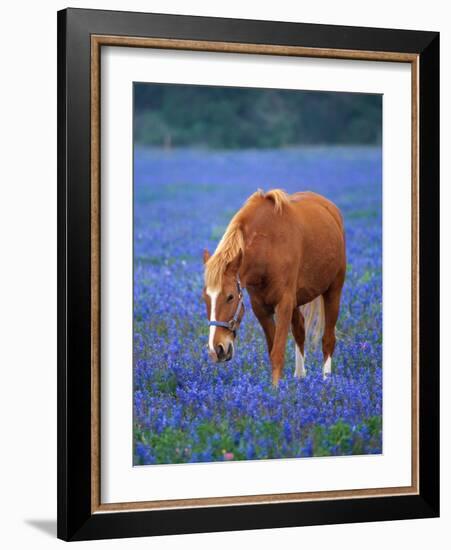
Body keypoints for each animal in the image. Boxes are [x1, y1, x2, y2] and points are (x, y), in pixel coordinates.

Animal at [203, 190, 348, 388]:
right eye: (205, 298)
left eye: (230, 297)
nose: (216, 349)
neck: (268, 248)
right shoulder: (261, 308)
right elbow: (273, 349)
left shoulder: (284, 304)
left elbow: (277, 353)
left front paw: (275, 391)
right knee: (300, 331)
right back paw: (300, 376)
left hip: (333, 291)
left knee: (328, 340)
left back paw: (326, 381)